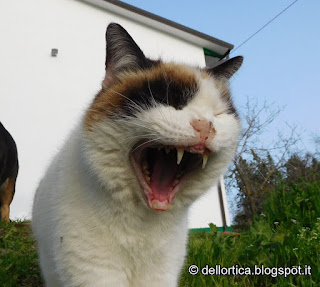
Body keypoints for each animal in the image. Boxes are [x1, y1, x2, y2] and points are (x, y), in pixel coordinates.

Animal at [31, 23, 242, 287]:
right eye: (167, 100)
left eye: (219, 114)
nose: (206, 126)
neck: (141, 230)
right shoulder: (93, 272)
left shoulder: (161, 274)